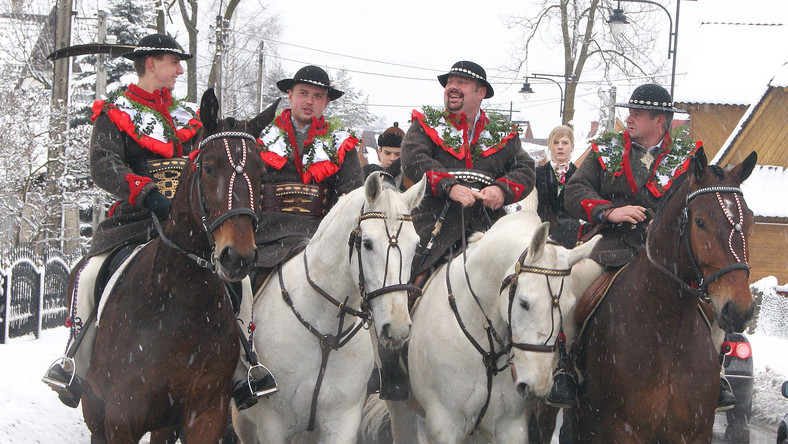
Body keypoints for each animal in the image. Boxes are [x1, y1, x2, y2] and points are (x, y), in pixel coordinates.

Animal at [81, 90, 278, 444]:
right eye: (209, 168)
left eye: (261, 174)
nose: (238, 256)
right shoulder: (120, 419)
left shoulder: (206, 415)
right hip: (96, 414)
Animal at [234, 172, 428, 442]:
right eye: (367, 243)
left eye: (416, 245)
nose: (397, 328)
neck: (325, 333)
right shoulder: (271, 425)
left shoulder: (342, 420)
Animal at [378, 196, 600, 442]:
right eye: (524, 302)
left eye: (570, 307)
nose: (538, 385)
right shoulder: (444, 424)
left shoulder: (511, 427)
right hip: (401, 408)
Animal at [572, 147, 756, 442]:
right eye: (700, 222)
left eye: (750, 220)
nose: (739, 309)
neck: (669, 327)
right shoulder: (621, 428)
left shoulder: (694, 431)